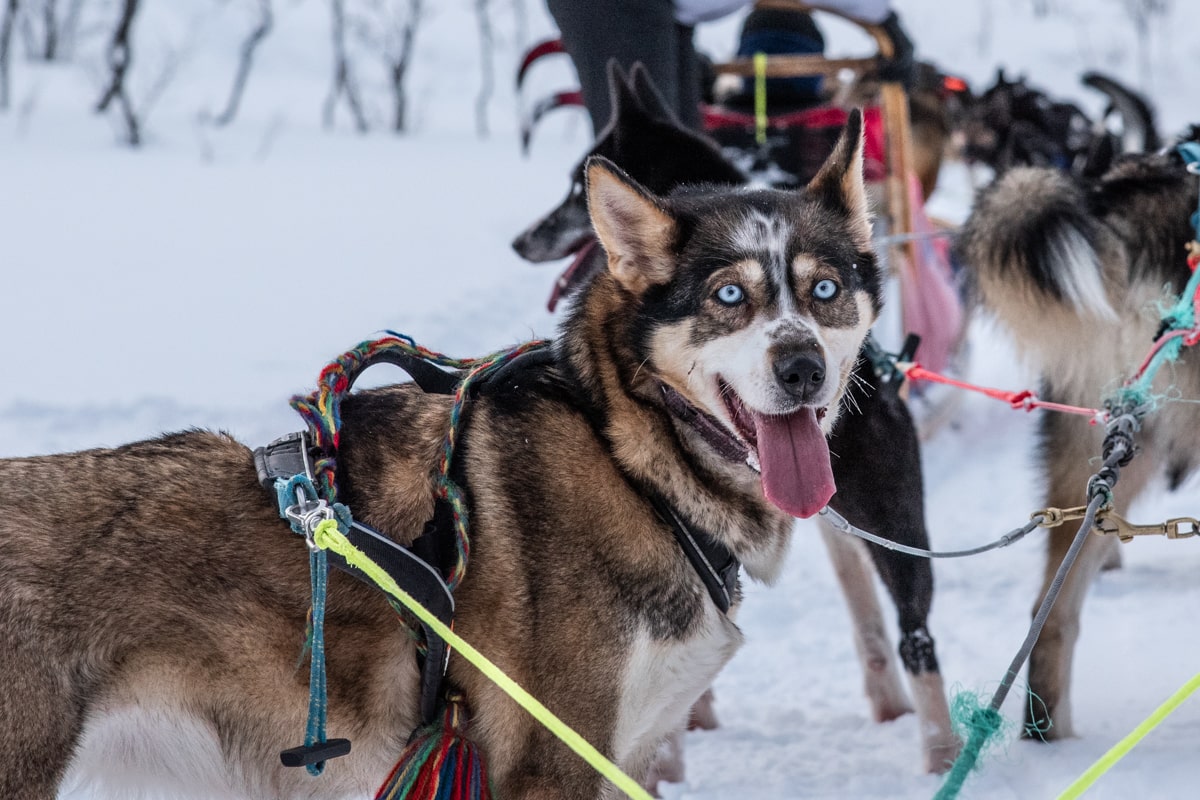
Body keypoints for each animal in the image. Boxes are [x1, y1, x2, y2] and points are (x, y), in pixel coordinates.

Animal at [513, 62, 955, 777]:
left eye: (573, 186)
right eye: (727, 294)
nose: (523, 240)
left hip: (897, 526)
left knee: (917, 639)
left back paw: (944, 756)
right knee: (872, 627)